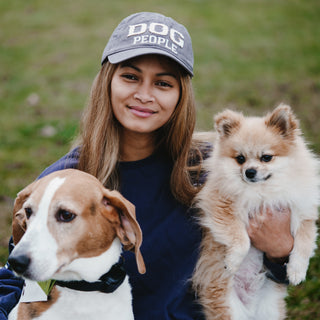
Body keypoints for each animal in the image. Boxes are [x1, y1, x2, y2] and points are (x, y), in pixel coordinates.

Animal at [192, 104, 320, 318]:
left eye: (266, 158)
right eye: (240, 159)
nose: (249, 172)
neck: (262, 191)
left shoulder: (301, 213)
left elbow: (303, 243)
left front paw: (296, 271)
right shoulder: (220, 205)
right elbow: (241, 240)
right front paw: (232, 261)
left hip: (270, 310)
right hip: (228, 307)